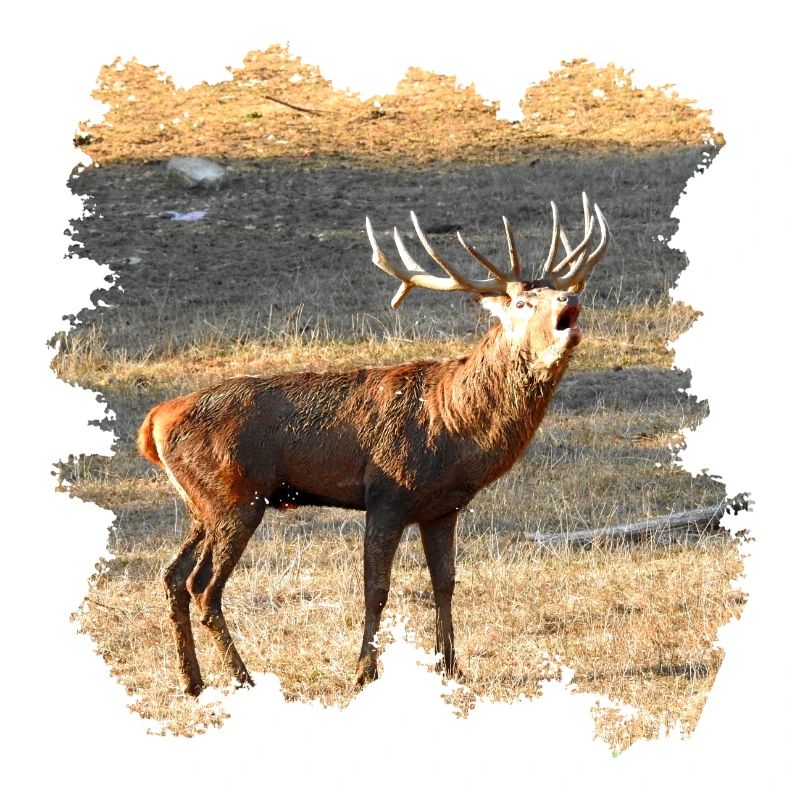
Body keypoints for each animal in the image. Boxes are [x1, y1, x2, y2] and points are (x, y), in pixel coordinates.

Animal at [137, 193, 609, 696]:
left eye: (554, 290)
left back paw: (193, 681)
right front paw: (365, 672)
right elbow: (376, 588)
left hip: (203, 504)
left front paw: (450, 667)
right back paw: (243, 679)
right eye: (522, 301)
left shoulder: (443, 507)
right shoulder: (387, 494)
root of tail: (154, 421)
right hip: (235, 498)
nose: (570, 297)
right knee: (203, 587)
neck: (455, 428)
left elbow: (445, 583)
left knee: (172, 576)